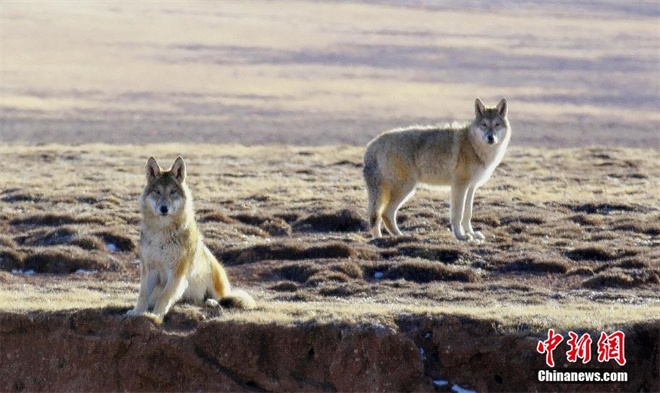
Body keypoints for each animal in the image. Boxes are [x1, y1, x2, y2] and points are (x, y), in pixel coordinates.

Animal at [127, 155, 255, 324]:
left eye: (173, 192)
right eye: (157, 192)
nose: (164, 208)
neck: (162, 233)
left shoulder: (177, 272)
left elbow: (164, 297)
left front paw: (156, 316)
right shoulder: (149, 269)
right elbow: (142, 296)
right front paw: (137, 312)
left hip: (213, 276)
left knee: (221, 298)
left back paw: (211, 301)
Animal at [366, 97, 510, 239]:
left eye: (497, 124)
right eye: (484, 125)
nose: (491, 138)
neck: (474, 147)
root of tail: (373, 143)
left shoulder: (471, 187)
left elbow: (467, 214)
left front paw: (472, 234)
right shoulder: (459, 185)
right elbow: (458, 213)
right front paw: (460, 236)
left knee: (379, 215)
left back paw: (384, 237)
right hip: (405, 188)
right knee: (385, 213)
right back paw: (399, 236)